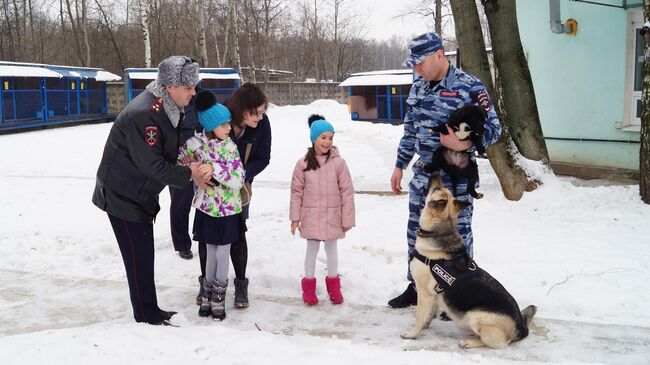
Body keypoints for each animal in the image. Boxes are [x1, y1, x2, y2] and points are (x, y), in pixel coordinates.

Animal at [400, 175, 536, 348]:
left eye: (437, 189)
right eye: (442, 189)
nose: (436, 173)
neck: (440, 232)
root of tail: (522, 328)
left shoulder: (424, 294)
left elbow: (419, 316)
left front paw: (412, 333)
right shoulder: (434, 296)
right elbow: (428, 315)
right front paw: (425, 325)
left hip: (474, 316)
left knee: (497, 343)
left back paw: (469, 342)